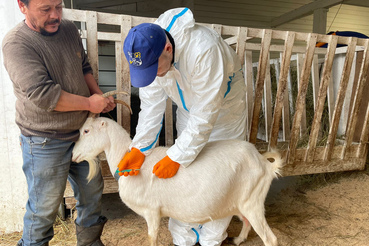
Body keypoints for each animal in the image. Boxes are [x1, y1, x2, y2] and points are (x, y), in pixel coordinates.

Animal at [72, 116, 284, 246]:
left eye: (86, 131)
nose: (73, 155)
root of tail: (264, 163)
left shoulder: (152, 211)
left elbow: (151, 237)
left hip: (252, 202)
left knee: (270, 239)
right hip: (241, 203)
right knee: (247, 222)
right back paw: (238, 240)